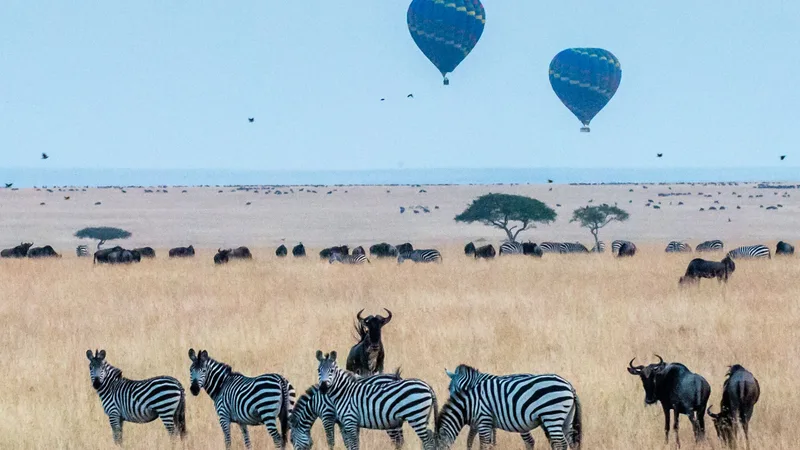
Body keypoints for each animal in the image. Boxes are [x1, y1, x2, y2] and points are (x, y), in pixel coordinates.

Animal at [435, 371, 582, 450]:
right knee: (571, 442)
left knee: (560, 443)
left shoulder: (483, 420)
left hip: (552, 415)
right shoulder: (481, 424)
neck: (470, 405)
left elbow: (483, 444)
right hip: (566, 419)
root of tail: (569, 386)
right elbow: (474, 442)